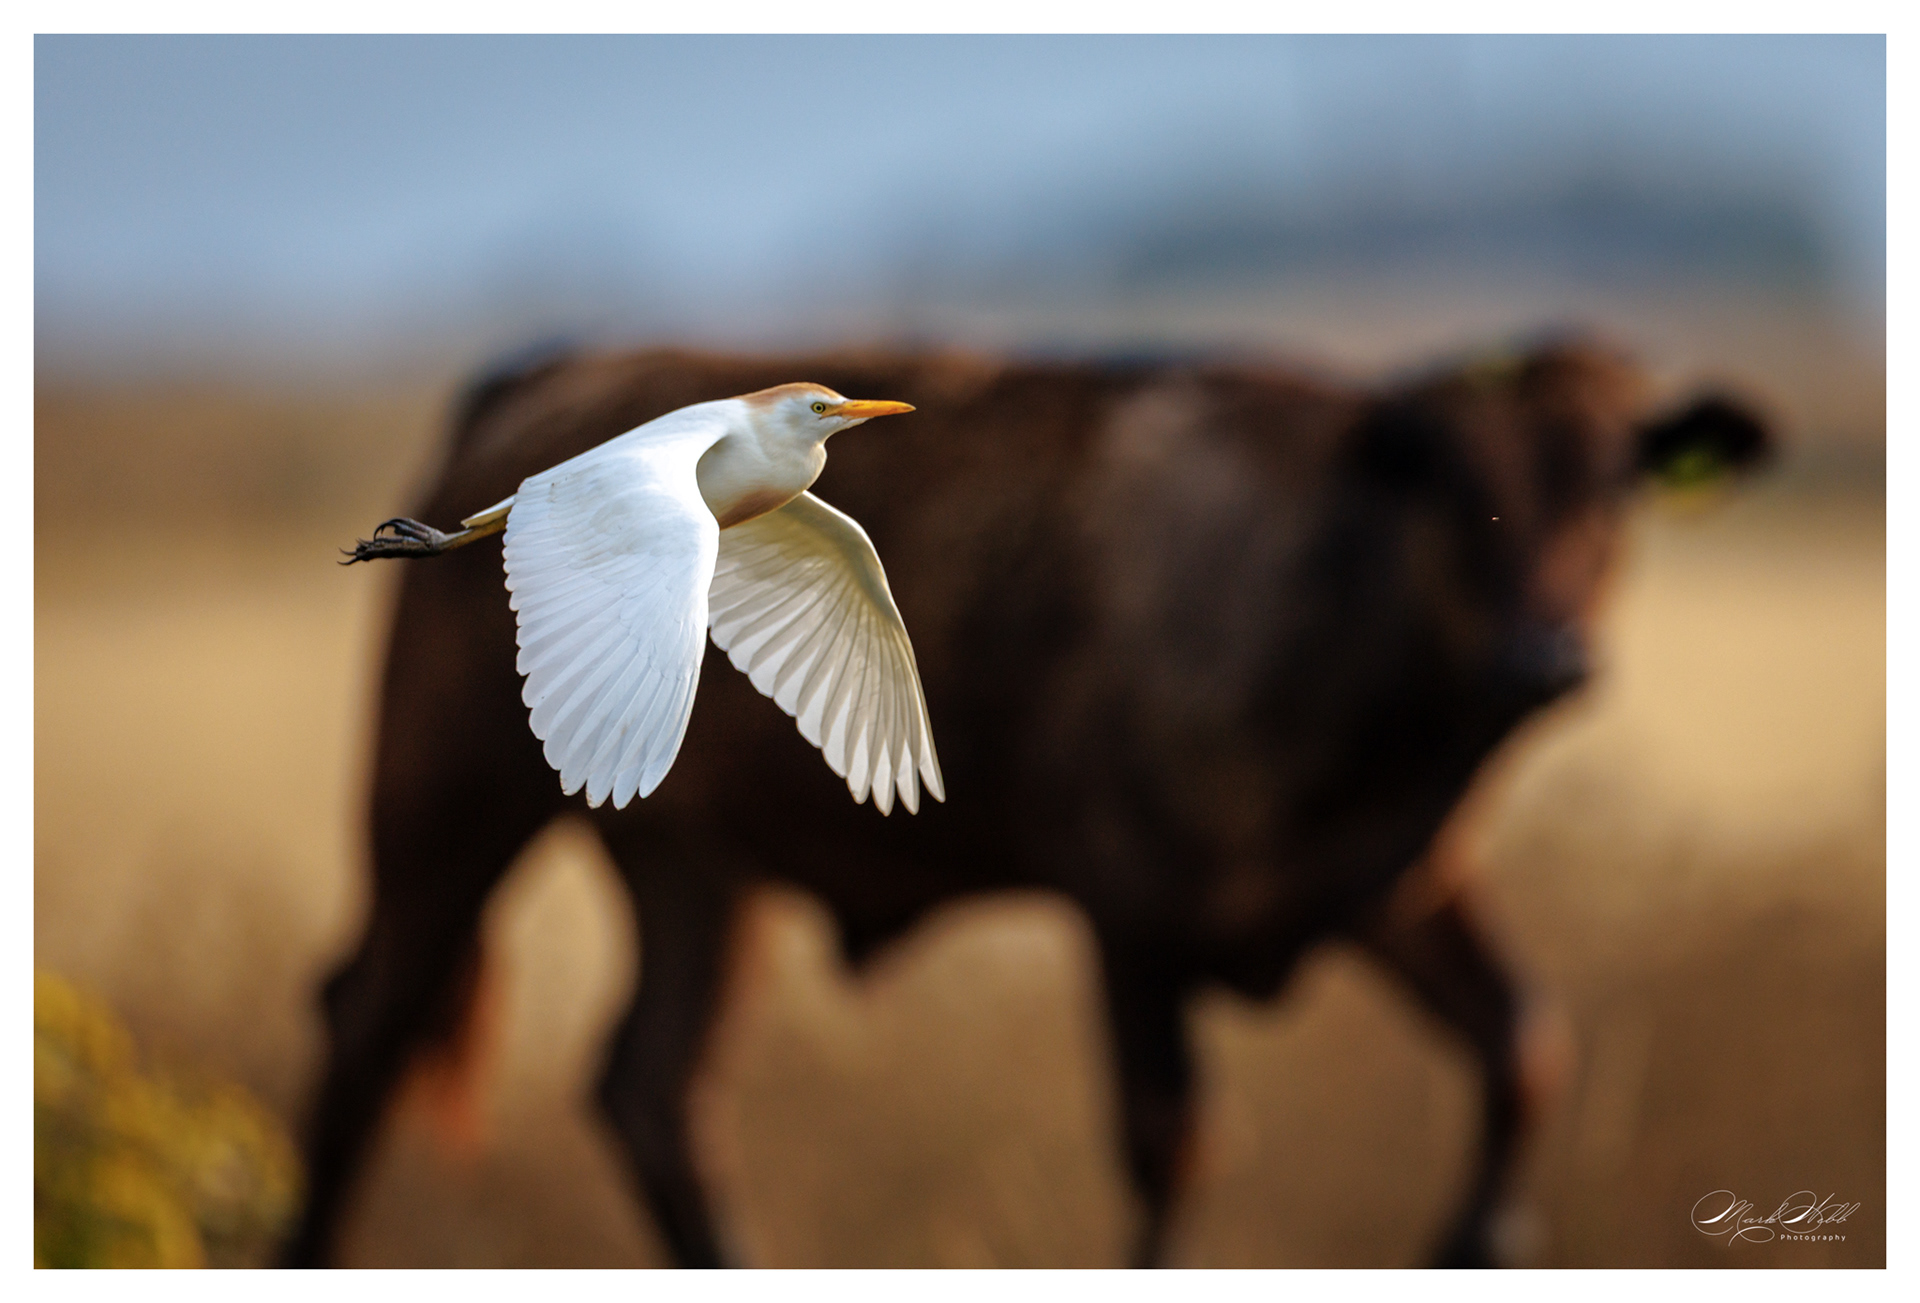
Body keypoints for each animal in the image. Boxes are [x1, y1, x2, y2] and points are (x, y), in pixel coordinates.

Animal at [282, 339, 1768, 1268]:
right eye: (821, 409)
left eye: (1618, 484)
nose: (1556, 658)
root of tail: (519, 421)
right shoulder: (1134, 903)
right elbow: (1173, 1132)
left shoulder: (1375, 881)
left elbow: (1520, 1040)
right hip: (457, 779)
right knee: (373, 1011)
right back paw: (405, 537)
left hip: (688, 863)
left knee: (647, 1078)